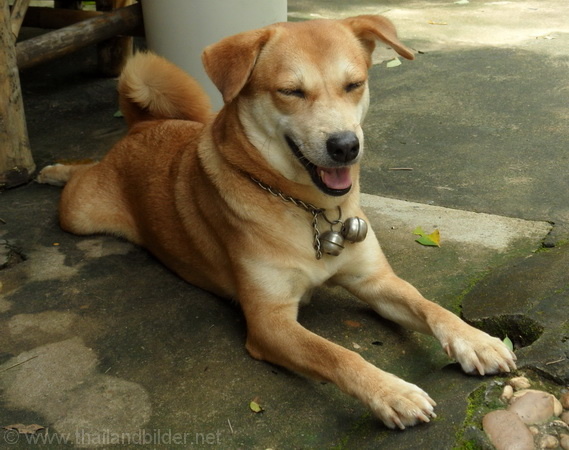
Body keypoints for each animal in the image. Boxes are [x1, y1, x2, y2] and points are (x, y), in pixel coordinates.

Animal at [36, 15, 516, 430]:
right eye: (291, 91)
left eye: (354, 84)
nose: (346, 146)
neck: (311, 209)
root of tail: (142, 127)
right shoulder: (269, 322)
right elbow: (337, 355)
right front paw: (390, 392)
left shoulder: (373, 280)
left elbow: (429, 305)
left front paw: (476, 340)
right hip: (79, 214)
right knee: (82, 173)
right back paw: (55, 170)